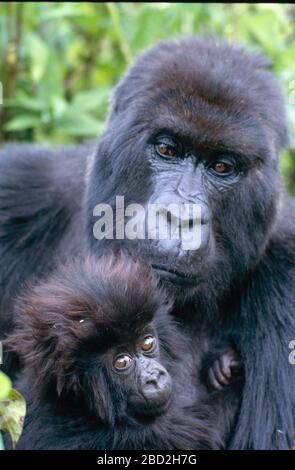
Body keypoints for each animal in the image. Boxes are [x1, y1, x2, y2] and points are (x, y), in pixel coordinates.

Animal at [5, 255, 243, 450]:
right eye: (121, 362)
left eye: (147, 343)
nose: (154, 377)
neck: (77, 406)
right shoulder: (131, 436)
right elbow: (206, 429)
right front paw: (233, 372)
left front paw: (221, 366)